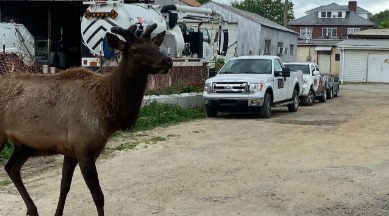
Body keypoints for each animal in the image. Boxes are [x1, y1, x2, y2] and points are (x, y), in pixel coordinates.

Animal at [0, 22, 171, 215]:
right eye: (134, 49)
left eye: (156, 46)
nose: (167, 61)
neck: (107, 113)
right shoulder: (84, 150)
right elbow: (98, 196)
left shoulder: (71, 151)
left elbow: (64, 188)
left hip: (25, 146)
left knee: (11, 168)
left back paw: (32, 209)